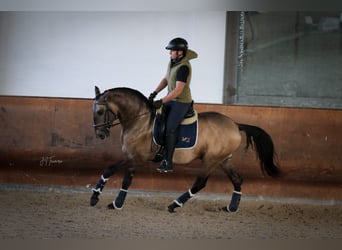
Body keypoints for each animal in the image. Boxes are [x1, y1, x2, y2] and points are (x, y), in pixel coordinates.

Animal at [91, 86, 280, 213]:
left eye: (99, 111)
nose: (100, 135)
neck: (139, 120)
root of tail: (235, 124)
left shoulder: (136, 158)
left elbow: (113, 171)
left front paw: (102, 199)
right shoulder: (131, 158)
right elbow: (123, 178)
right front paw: (110, 200)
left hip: (211, 160)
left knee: (200, 183)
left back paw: (174, 205)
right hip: (224, 160)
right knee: (237, 179)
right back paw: (231, 207)